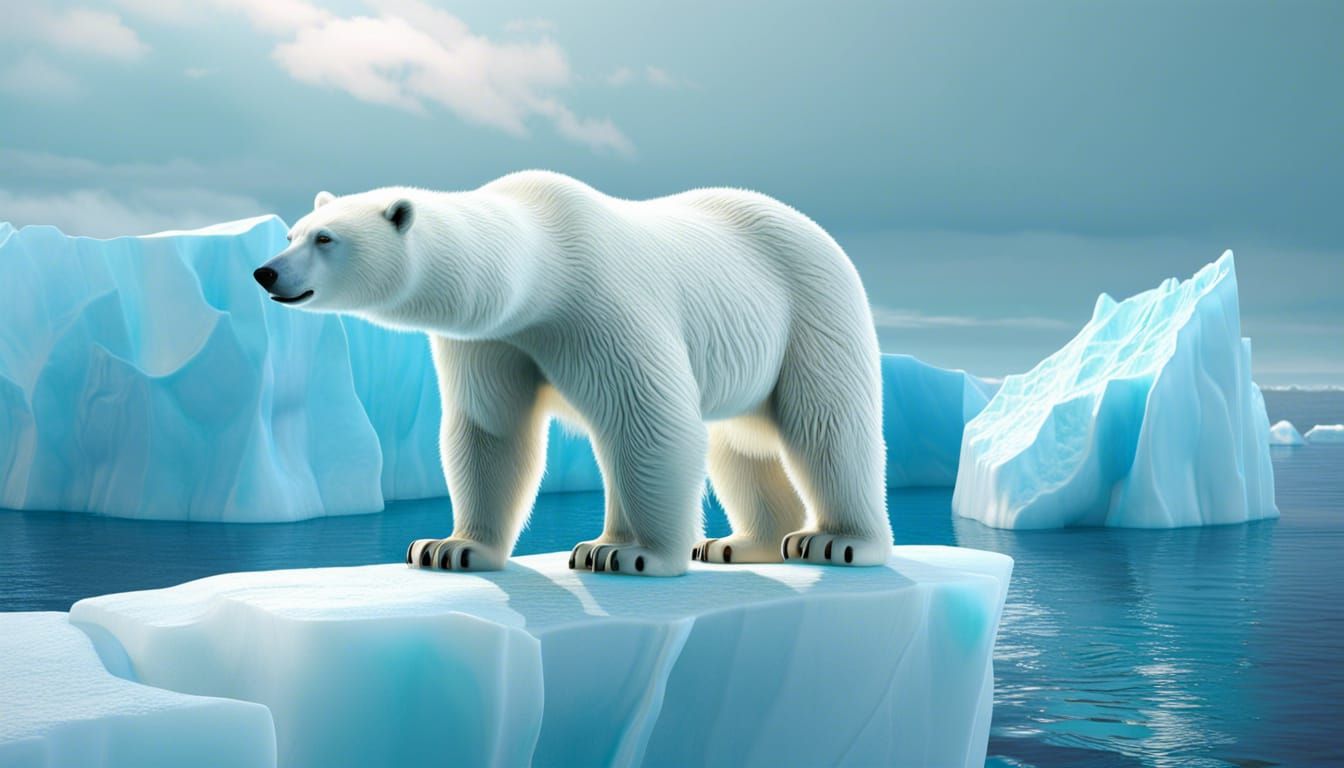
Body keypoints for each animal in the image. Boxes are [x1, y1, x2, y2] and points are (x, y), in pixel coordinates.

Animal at [254, 171, 892, 576]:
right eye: (291, 233)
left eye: (326, 238)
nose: (265, 272)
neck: (539, 267)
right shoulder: (493, 340)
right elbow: (490, 431)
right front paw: (450, 548)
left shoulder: (597, 306)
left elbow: (648, 421)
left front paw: (635, 555)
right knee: (741, 444)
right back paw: (738, 543)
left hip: (811, 312)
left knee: (827, 427)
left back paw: (836, 541)